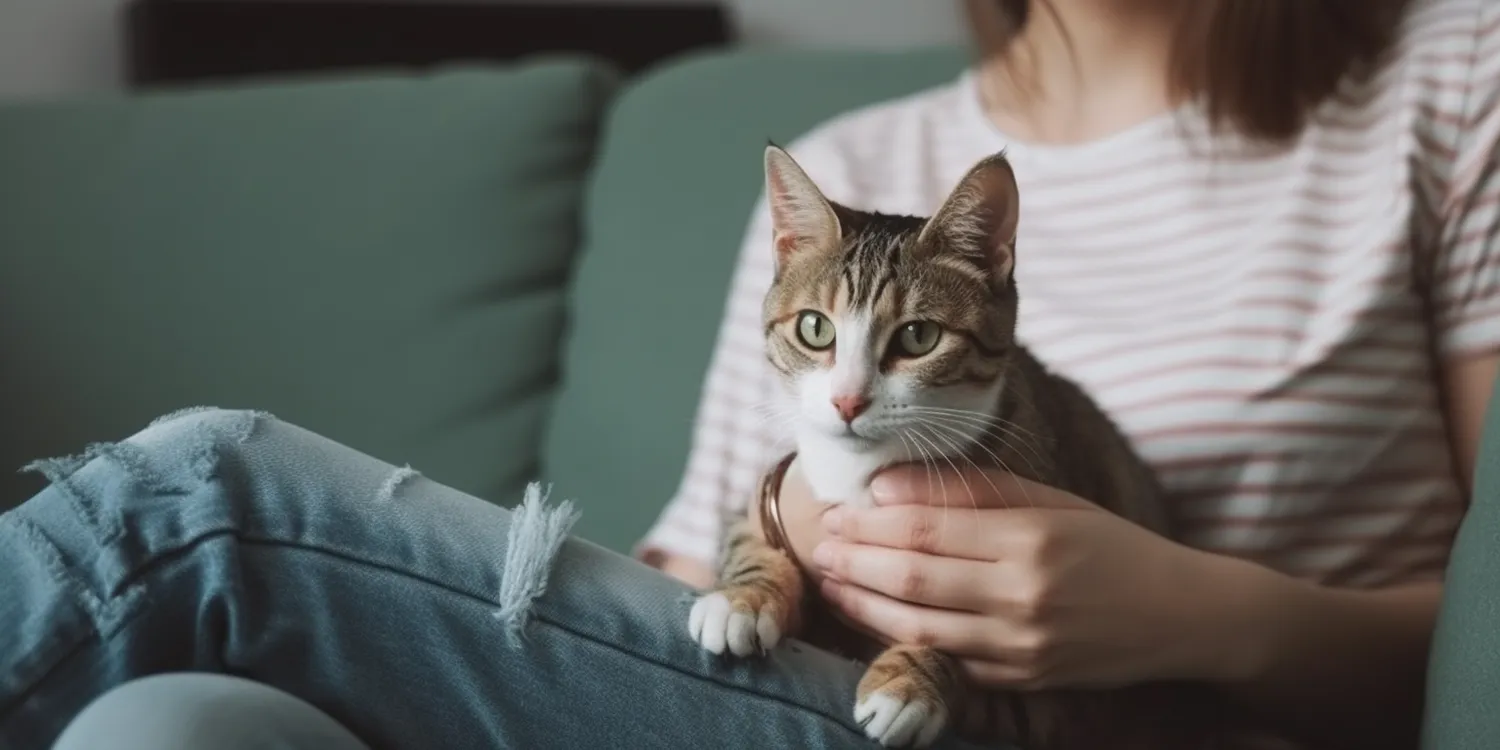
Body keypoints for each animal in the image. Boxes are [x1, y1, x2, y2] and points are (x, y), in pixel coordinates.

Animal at [687, 146, 1236, 750]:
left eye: (918, 336)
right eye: (814, 328)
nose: (848, 401)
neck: (866, 474)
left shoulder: (1067, 697)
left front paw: (910, 681)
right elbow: (745, 531)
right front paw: (743, 597)